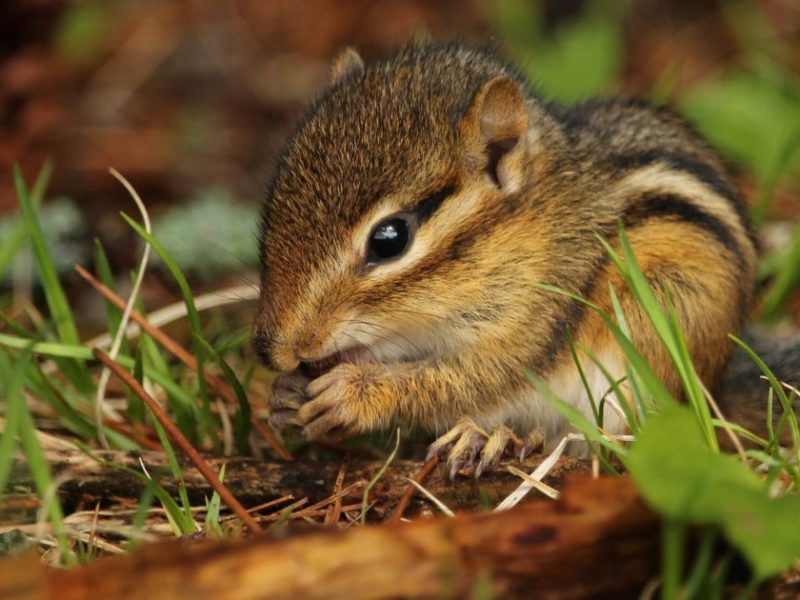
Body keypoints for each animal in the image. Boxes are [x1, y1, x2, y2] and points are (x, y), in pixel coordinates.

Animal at [252, 43, 790, 474]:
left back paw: (500, 438)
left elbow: (473, 378)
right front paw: (283, 396)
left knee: (613, 441)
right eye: (274, 200)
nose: (270, 350)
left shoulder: (543, 311)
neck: (520, 230)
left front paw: (357, 395)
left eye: (390, 239)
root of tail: (716, 390)